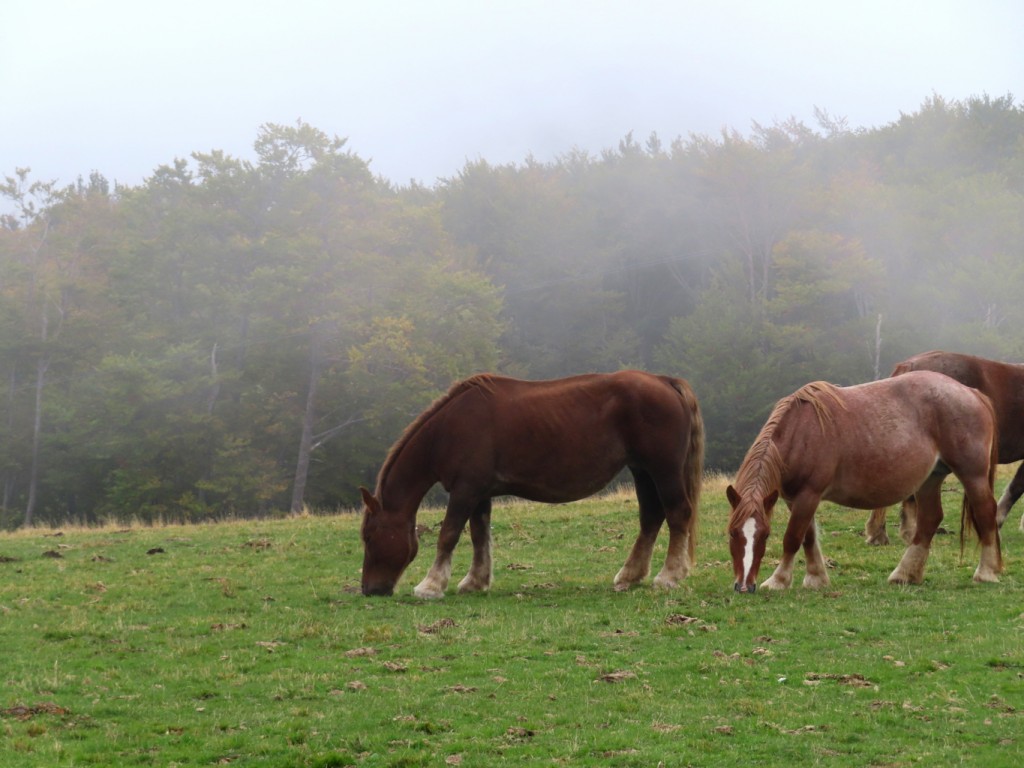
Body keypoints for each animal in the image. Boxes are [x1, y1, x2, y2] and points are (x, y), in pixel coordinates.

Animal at [356, 372, 700, 602]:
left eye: (369, 537)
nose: (370, 590)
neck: (448, 429)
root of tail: (663, 381)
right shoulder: (480, 494)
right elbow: (480, 537)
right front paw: (475, 581)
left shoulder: (465, 491)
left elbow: (449, 535)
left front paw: (431, 585)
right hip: (642, 471)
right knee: (651, 518)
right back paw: (630, 575)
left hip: (663, 470)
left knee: (678, 513)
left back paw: (669, 575)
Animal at [729, 372, 999, 593]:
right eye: (732, 532)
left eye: (765, 535)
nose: (744, 586)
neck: (802, 432)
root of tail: (971, 393)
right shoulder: (793, 498)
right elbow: (808, 536)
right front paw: (816, 578)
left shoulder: (809, 495)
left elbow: (793, 537)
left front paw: (778, 580)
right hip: (930, 479)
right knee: (930, 519)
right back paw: (905, 575)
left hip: (972, 474)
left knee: (986, 511)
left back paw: (986, 572)